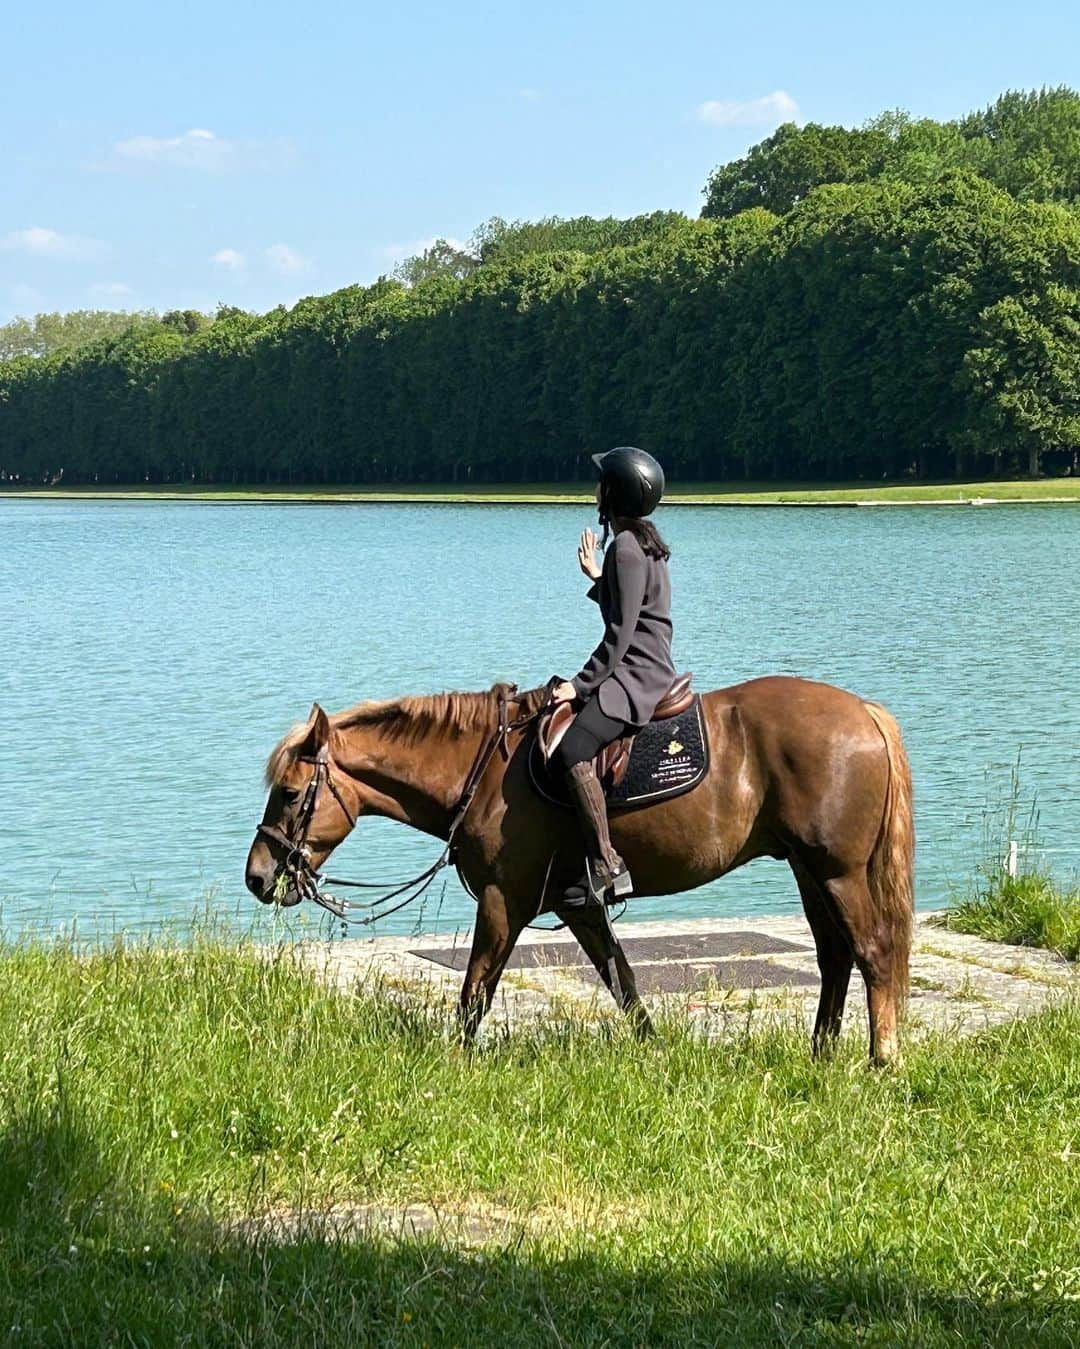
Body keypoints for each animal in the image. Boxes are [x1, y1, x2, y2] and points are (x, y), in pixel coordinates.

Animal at [244, 674, 911, 1063]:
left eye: (290, 792)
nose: (257, 876)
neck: (489, 770)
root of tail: (865, 712)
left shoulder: (504, 900)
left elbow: (475, 991)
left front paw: (453, 1063)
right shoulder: (579, 906)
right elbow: (623, 982)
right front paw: (653, 1056)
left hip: (837, 872)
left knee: (873, 952)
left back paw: (881, 1059)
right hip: (808, 870)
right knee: (834, 956)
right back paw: (821, 1054)